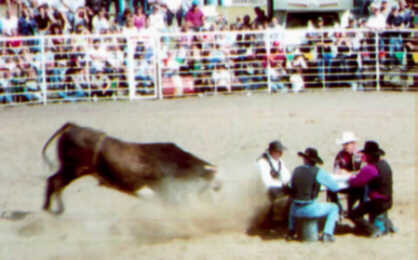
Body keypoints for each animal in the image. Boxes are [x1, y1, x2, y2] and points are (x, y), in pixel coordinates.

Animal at [41, 123, 219, 214]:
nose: (211, 204)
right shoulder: (165, 189)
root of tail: (74, 127)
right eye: (208, 186)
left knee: (54, 182)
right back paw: (52, 210)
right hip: (73, 169)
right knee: (55, 182)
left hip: (73, 170)